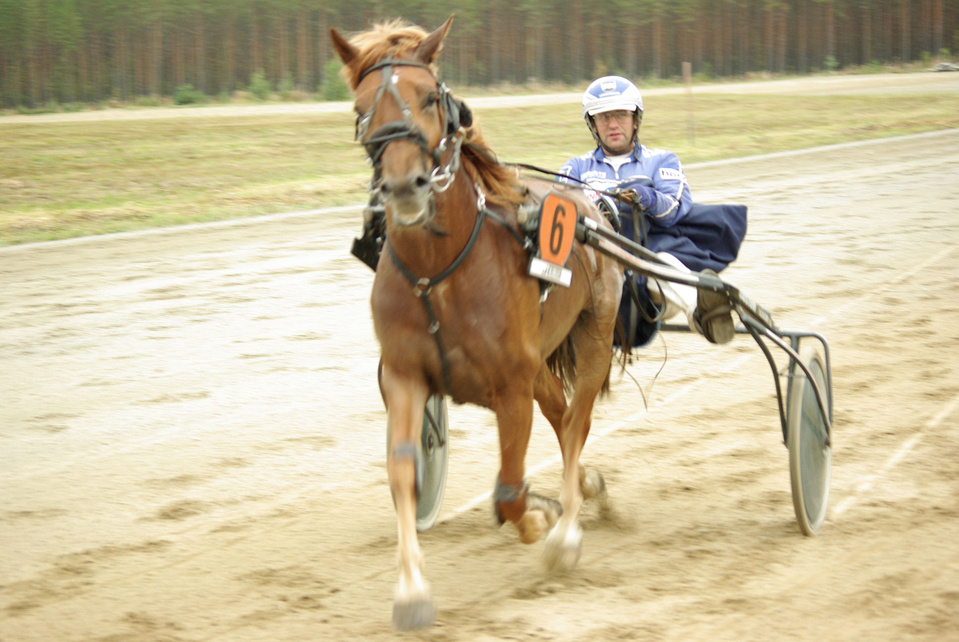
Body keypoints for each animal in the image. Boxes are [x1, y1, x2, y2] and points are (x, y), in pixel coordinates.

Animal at [331, 16, 624, 629]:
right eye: (362, 106)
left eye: (428, 96)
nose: (405, 187)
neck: (438, 273)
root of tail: (594, 203)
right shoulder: (404, 376)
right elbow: (402, 472)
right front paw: (412, 591)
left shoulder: (511, 386)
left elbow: (509, 489)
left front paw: (541, 521)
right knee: (562, 416)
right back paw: (582, 486)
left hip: (595, 332)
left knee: (576, 421)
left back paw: (566, 526)